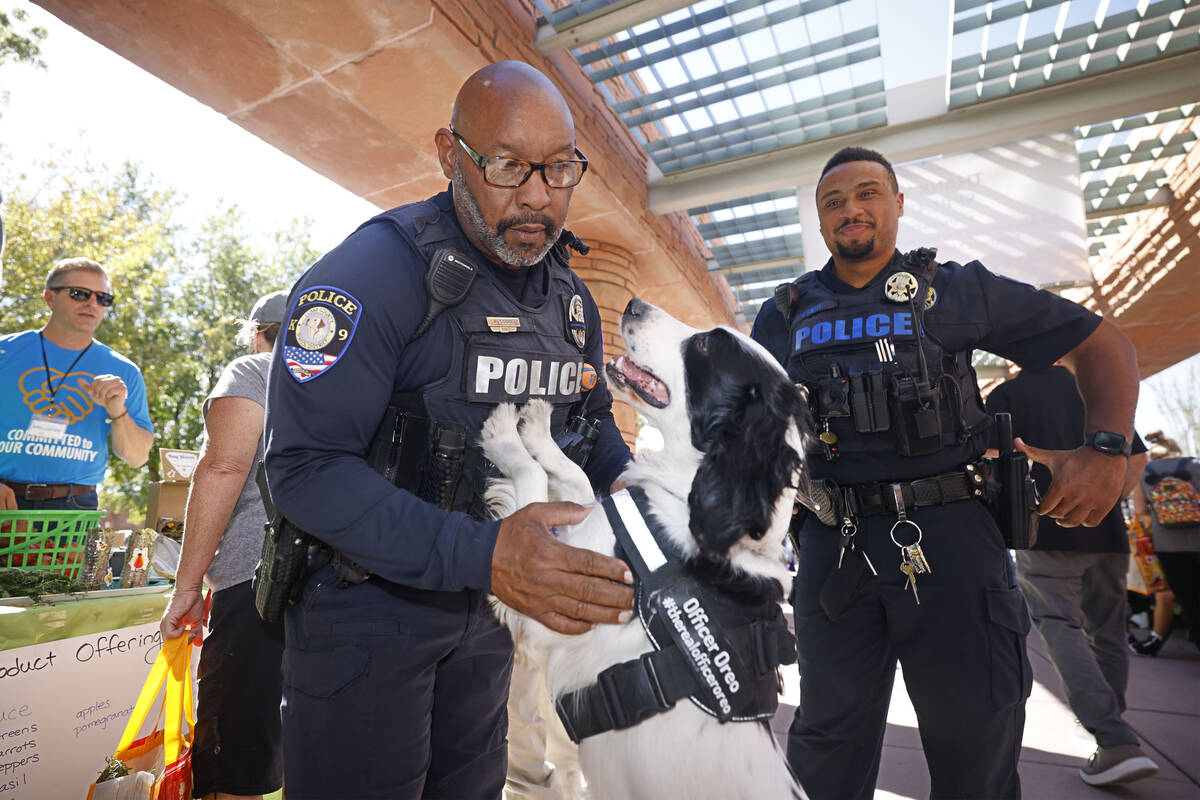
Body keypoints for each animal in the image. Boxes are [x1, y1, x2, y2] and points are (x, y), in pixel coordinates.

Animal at [482, 298, 811, 800]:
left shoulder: (546, 614)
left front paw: (504, 433)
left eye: (704, 344)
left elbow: (533, 482)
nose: (635, 304)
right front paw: (537, 427)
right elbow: (576, 482)